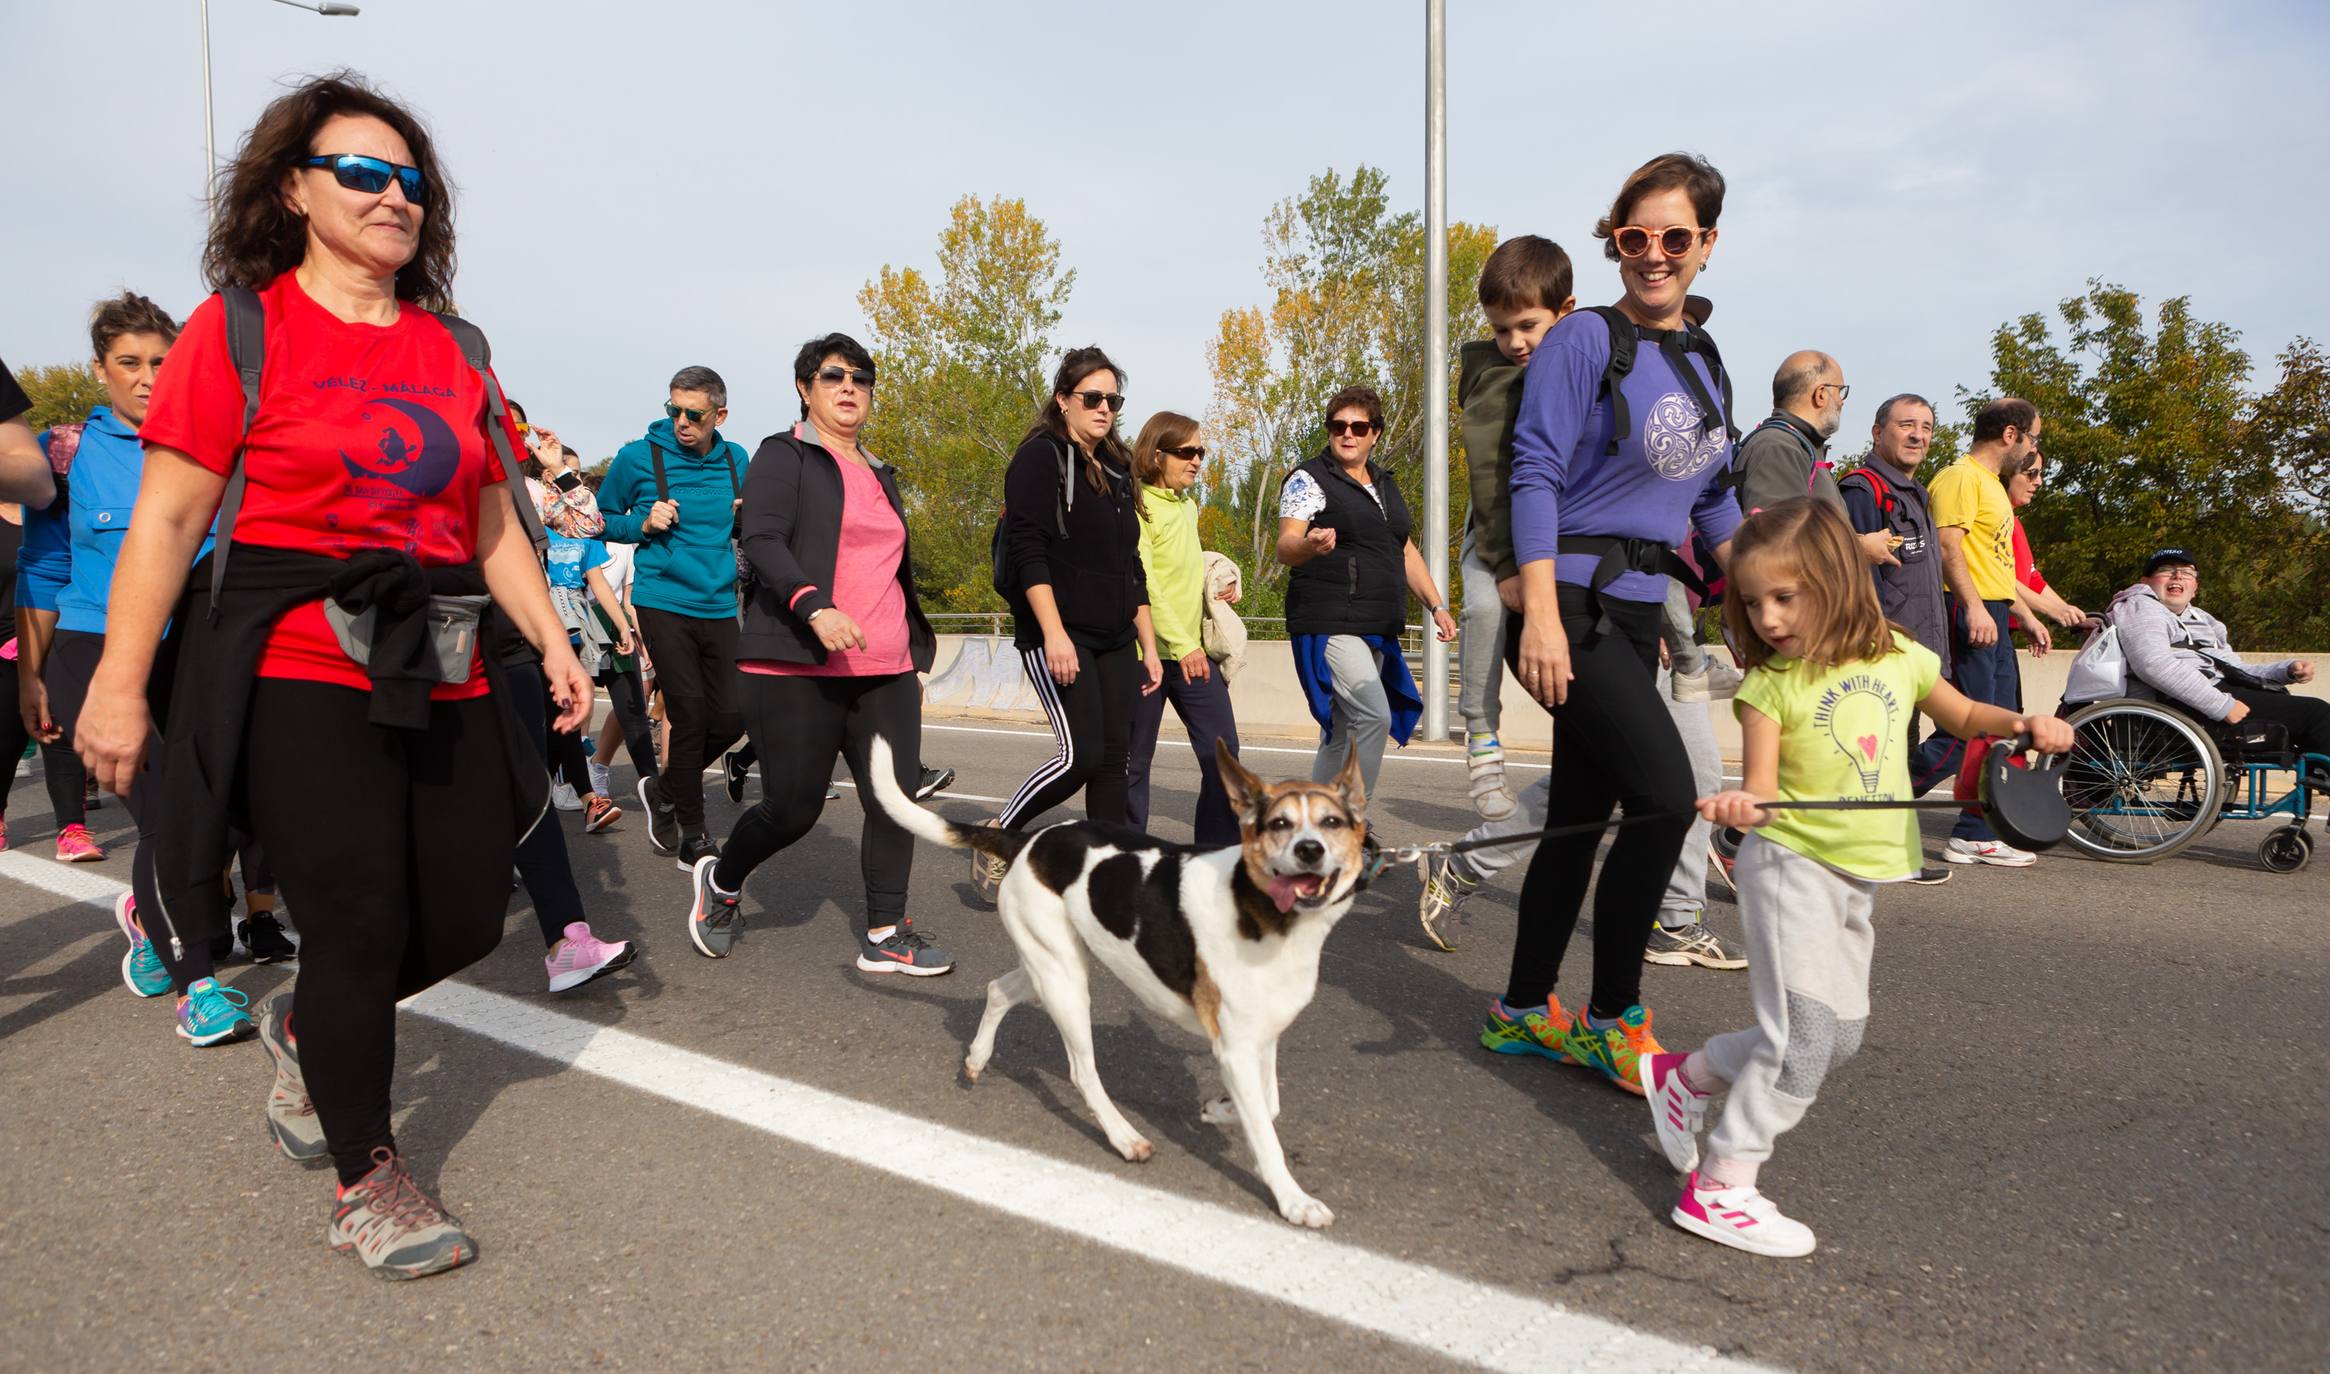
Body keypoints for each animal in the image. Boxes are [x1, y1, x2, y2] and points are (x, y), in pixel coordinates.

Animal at [866, 735, 1370, 1229]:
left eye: (1331, 822)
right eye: (1279, 824)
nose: (1310, 850)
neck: (1260, 910)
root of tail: (1029, 838)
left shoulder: (1261, 1039)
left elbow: (1268, 1105)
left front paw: (1221, 1109)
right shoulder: (1236, 1045)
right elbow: (1265, 1132)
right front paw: (1294, 1200)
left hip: (1054, 964)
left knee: (998, 990)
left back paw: (976, 1058)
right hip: (1065, 983)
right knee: (1081, 1071)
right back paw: (1125, 1137)